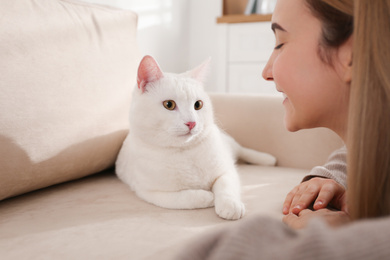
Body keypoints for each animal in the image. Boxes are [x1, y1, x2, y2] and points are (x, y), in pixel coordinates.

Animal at [116, 55, 278, 219]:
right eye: (169, 104)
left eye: (198, 105)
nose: (191, 123)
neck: (185, 152)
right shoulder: (151, 193)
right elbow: (186, 197)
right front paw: (208, 197)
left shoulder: (226, 171)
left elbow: (225, 186)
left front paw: (229, 205)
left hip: (228, 143)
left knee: (242, 150)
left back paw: (267, 159)